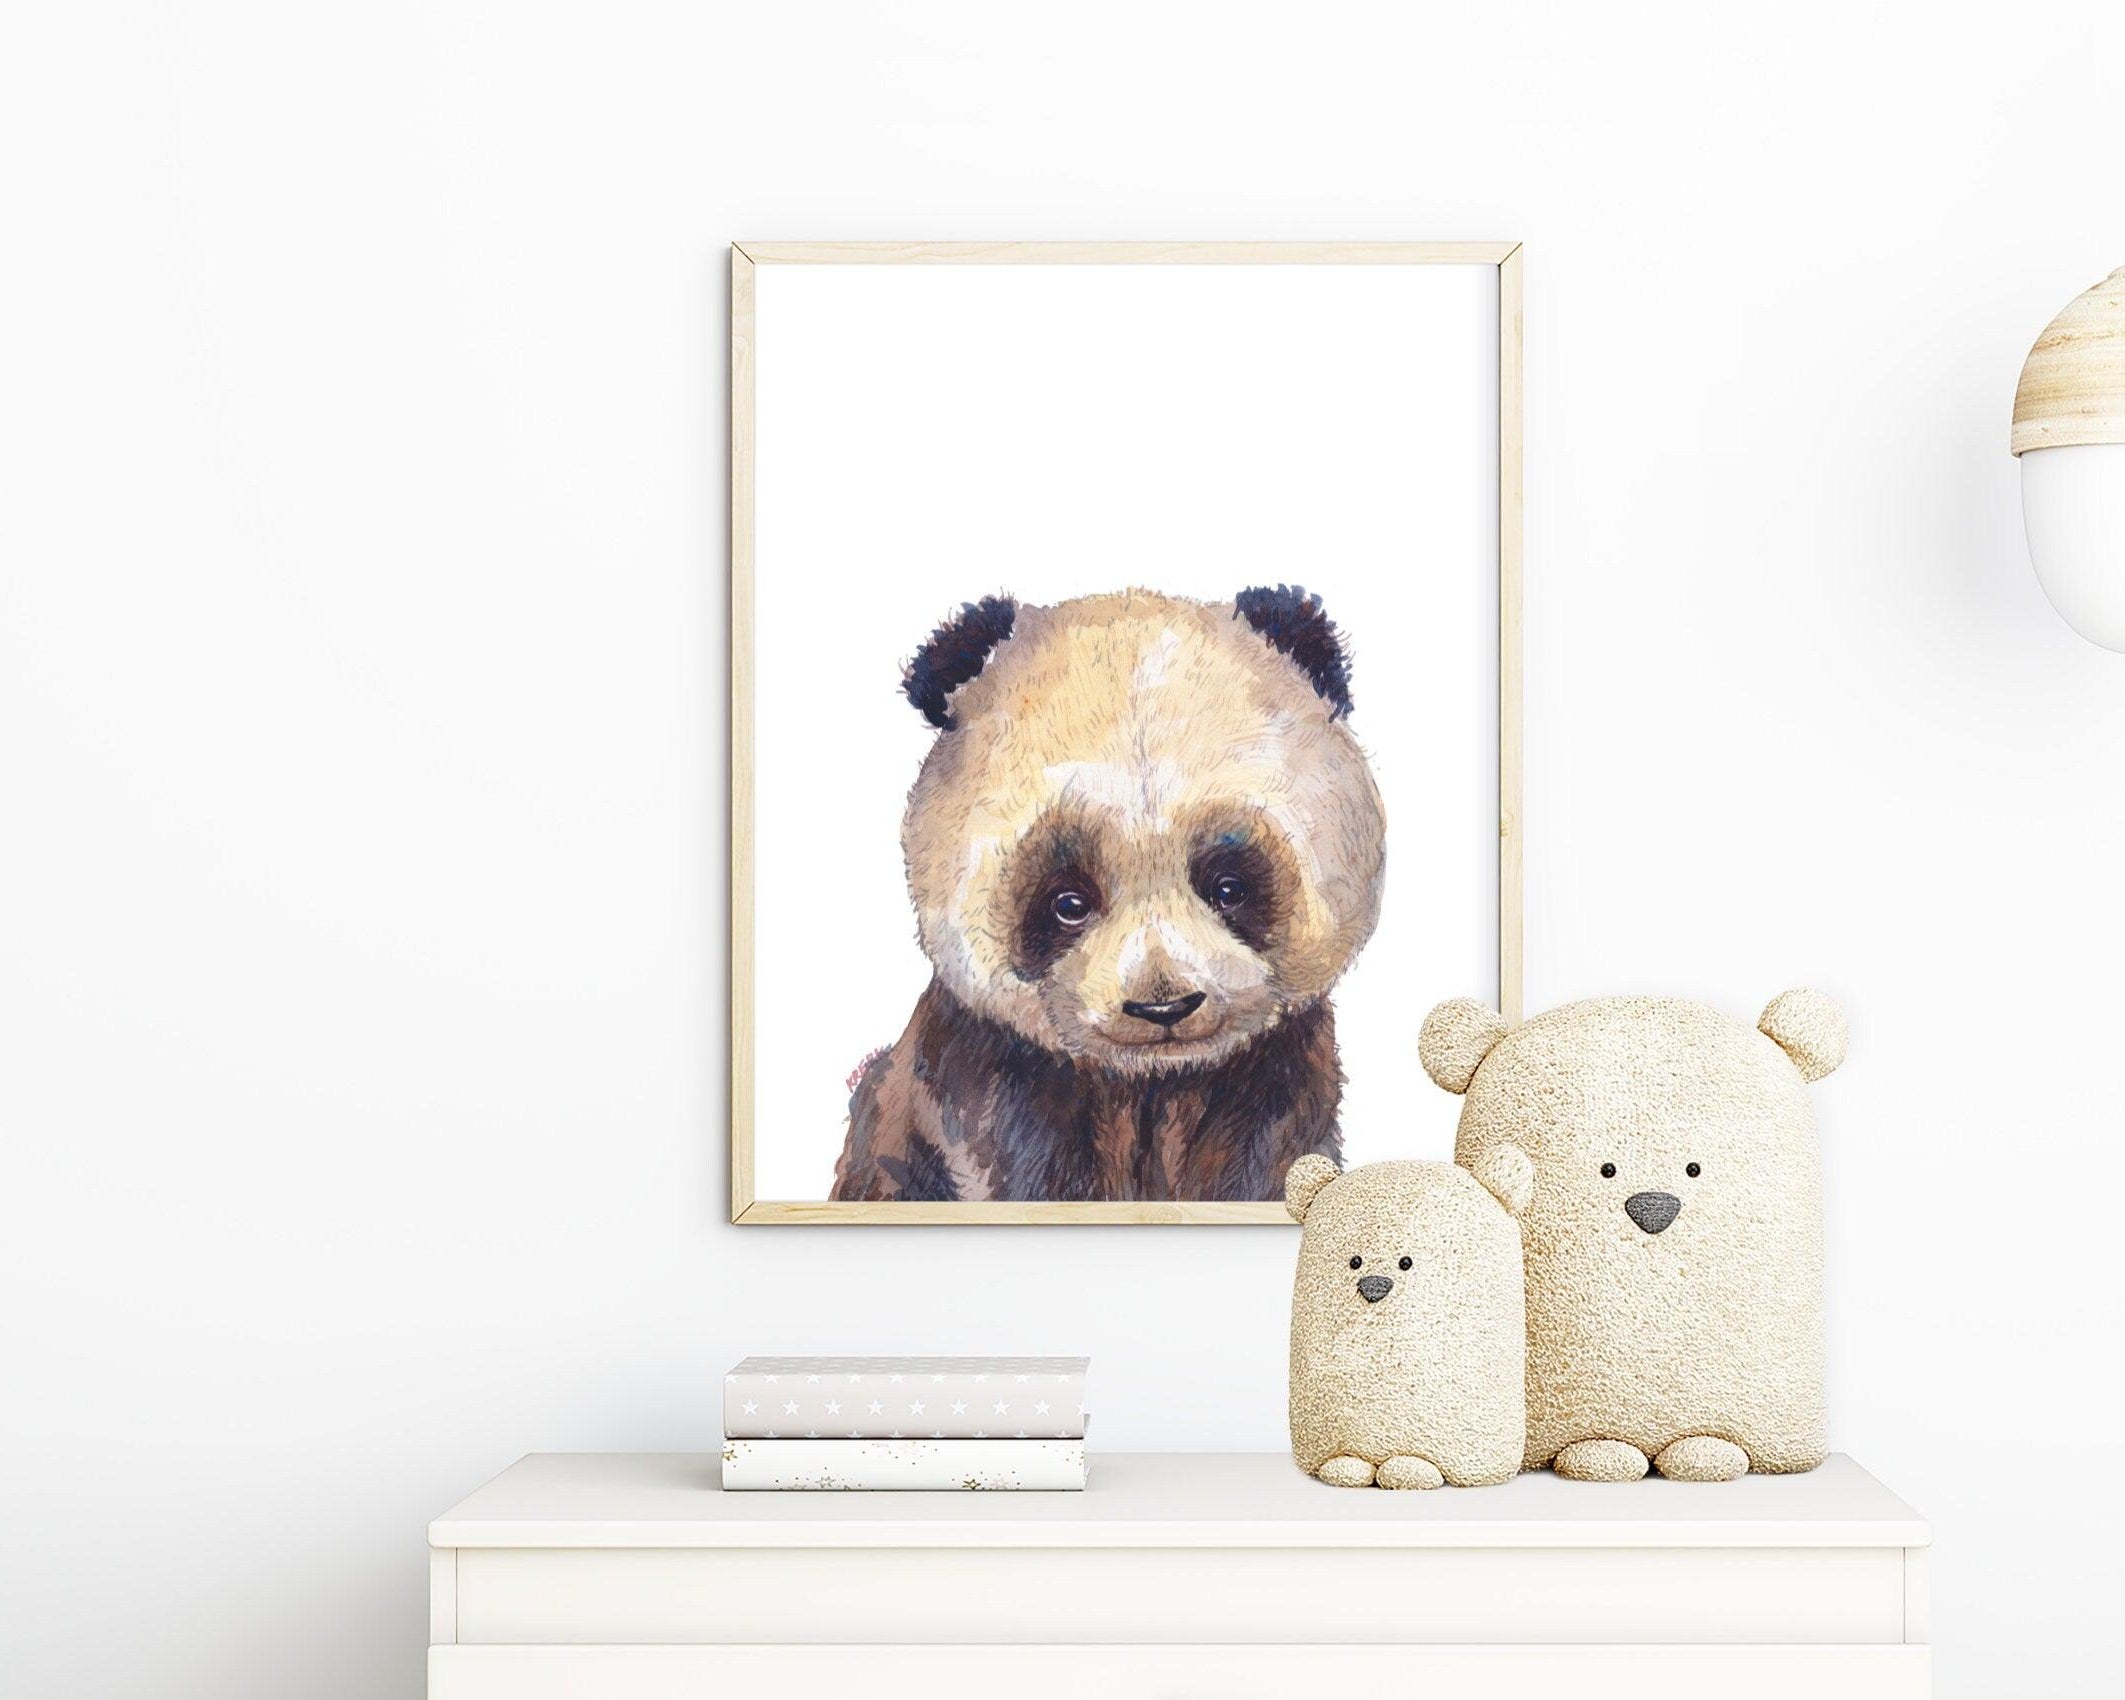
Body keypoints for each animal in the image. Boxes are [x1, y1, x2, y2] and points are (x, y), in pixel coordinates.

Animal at [831, 586, 1387, 1203]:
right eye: (1068, 902)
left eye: (1229, 887)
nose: (1163, 1007)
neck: (1152, 1084)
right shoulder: (990, 1082)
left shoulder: (1276, 1078)